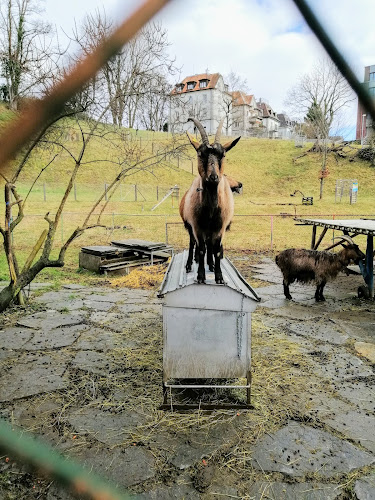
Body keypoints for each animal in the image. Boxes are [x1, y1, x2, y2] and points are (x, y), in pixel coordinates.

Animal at [179, 115, 241, 284]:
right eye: (200, 154)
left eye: (223, 154)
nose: (213, 177)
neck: (211, 210)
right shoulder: (197, 226)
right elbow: (200, 249)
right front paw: (201, 276)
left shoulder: (220, 227)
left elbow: (216, 250)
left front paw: (219, 276)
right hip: (189, 225)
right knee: (193, 243)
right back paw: (189, 265)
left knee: (210, 246)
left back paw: (211, 265)